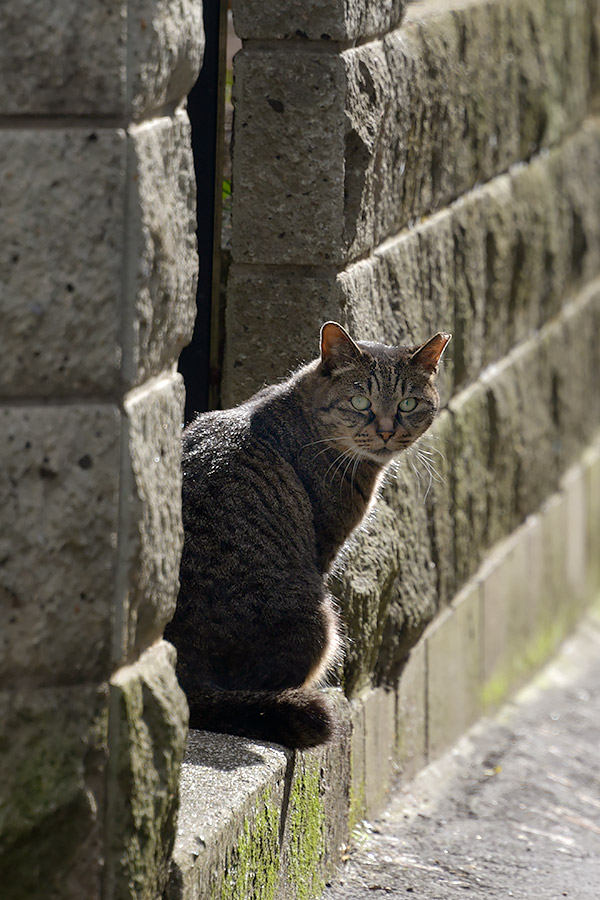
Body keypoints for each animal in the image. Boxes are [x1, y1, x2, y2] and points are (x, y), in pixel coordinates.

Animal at [164, 322, 450, 744]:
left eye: (408, 404)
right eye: (360, 401)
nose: (385, 431)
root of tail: (185, 678)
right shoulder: (327, 544)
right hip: (320, 619)